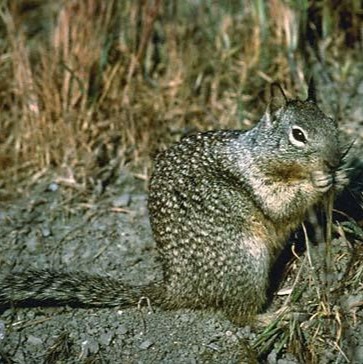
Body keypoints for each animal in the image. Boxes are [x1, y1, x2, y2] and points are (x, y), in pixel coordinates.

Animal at [0, 82, 348, 322]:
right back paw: (273, 316)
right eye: (298, 135)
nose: (333, 160)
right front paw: (319, 181)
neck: (257, 152)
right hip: (245, 260)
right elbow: (280, 206)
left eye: (332, 122)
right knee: (238, 315)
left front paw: (342, 177)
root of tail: (176, 287)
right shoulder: (260, 182)